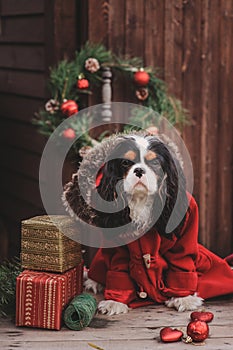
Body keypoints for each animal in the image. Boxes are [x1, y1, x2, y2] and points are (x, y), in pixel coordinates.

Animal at [63, 133, 233, 316]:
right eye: (125, 163)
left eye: (155, 163)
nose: (139, 170)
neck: (141, 199)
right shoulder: (119, 250)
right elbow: (118, 269)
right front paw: (115, 301)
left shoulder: (183, 241)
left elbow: (181, 263)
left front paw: (184, 298)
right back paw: (95, 282)